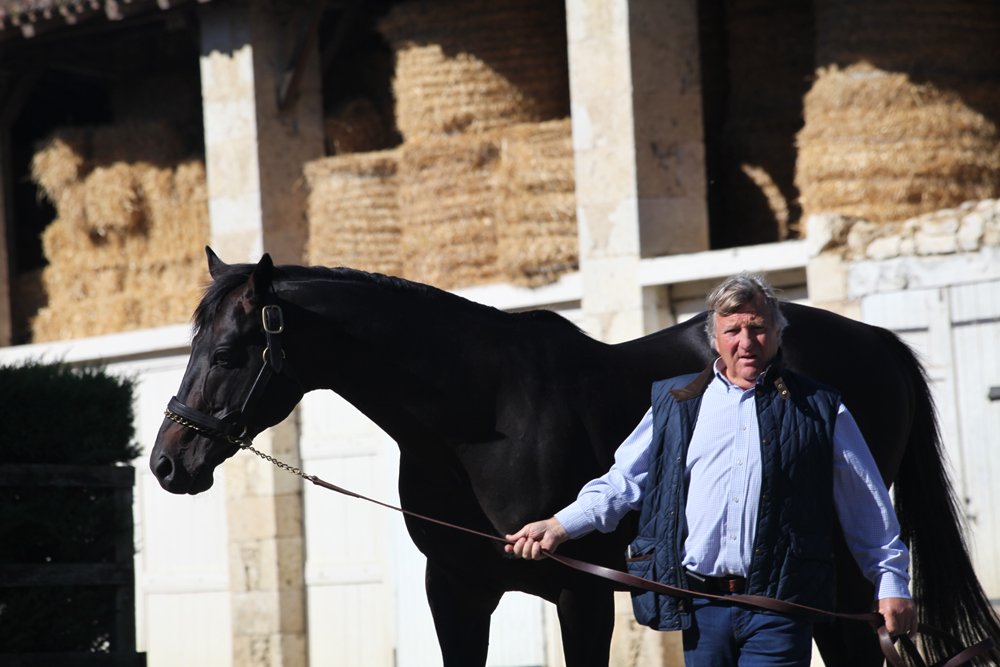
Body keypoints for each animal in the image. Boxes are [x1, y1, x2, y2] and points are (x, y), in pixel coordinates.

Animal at [150, 252, 1000, 667]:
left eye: (227, 349)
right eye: (191, 344)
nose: (167, 462)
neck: (481, 420)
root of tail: (878, 342)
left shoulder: (582, 591)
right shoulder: (456, 590)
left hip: (841, 566)